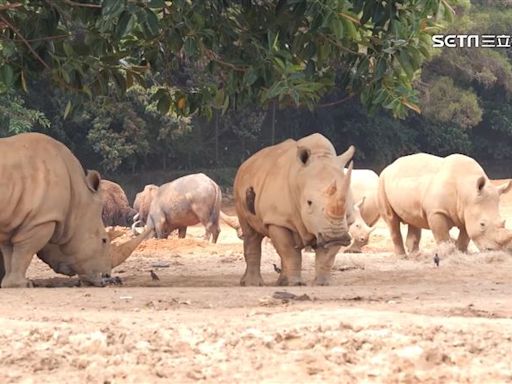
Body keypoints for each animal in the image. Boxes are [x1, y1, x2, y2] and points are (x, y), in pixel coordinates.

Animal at [380, 153, 512, 255]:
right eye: (482, 224)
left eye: (503, 222)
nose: (496, 250)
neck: (467, 192)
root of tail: (389, 166)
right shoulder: (437, 211)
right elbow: (442, 235)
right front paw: (447, 254)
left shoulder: (466, 212)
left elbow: (465, 237)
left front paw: (461, 252)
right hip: (382, 181)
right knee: (392, 220)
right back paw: (402, 257)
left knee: (414, 219)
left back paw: (416, 256)